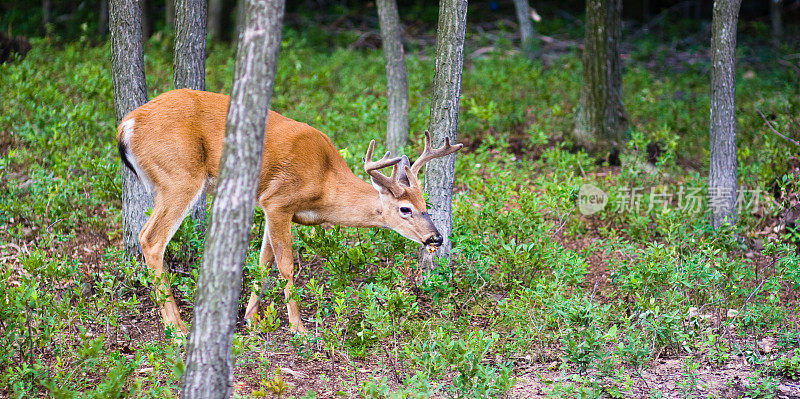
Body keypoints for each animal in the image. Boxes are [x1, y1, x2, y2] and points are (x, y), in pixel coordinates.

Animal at [117, 89, 462, 336]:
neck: (324, 183)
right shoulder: (278, 201)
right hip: (180, 175)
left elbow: (263, 261)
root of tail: (126, 125)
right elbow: (286, 265)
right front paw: (299, 327)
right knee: (151, 238)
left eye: (426, 205)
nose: (437, 237)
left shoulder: (272, 208)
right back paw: (175, 326)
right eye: (405, 209)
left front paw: (251, 318)